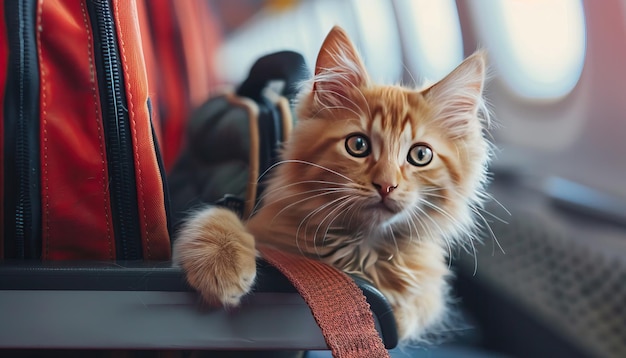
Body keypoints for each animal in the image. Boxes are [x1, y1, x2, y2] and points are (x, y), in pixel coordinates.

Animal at [173, 26, 490, 342]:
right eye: (358, 145)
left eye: (420, 155)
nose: (386, 185)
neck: (358, 250)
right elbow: (219, 215)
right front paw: (222, 264)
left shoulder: (428, 288)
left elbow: (421, 305)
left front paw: (400, 314)